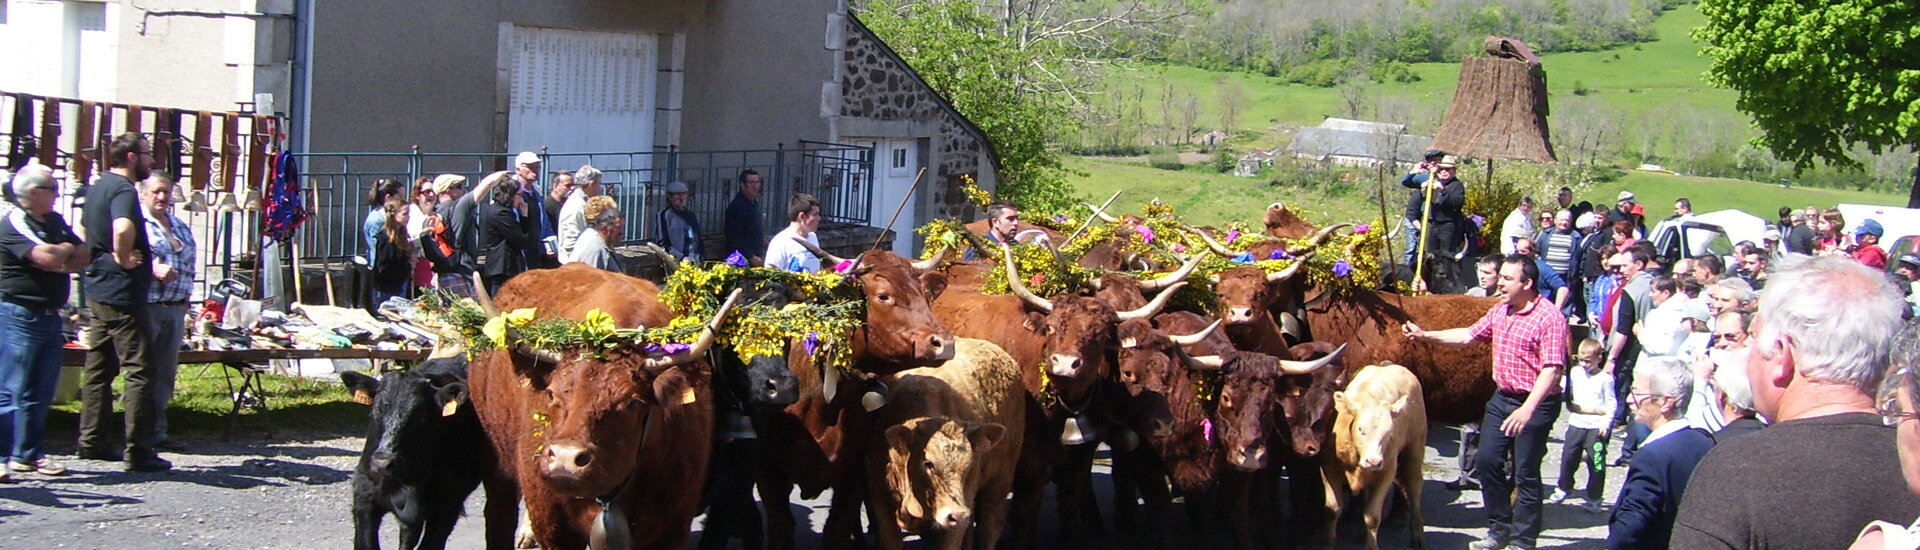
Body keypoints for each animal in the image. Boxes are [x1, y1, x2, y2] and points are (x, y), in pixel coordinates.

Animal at [867, 336, 1029, 550]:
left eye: (969, 464)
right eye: (928, 463)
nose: (957, 516)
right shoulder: (881, 503)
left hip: (1000, 480)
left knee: (990, 526)